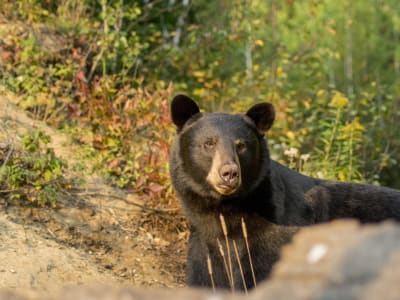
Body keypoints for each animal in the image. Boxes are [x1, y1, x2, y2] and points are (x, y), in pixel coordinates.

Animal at [168, 94, 400, 290]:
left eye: (241, 145)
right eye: (209, 143)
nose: (229, 173)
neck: (226, 210)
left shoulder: (276, 236)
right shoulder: (203, 245)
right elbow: (206, 277)